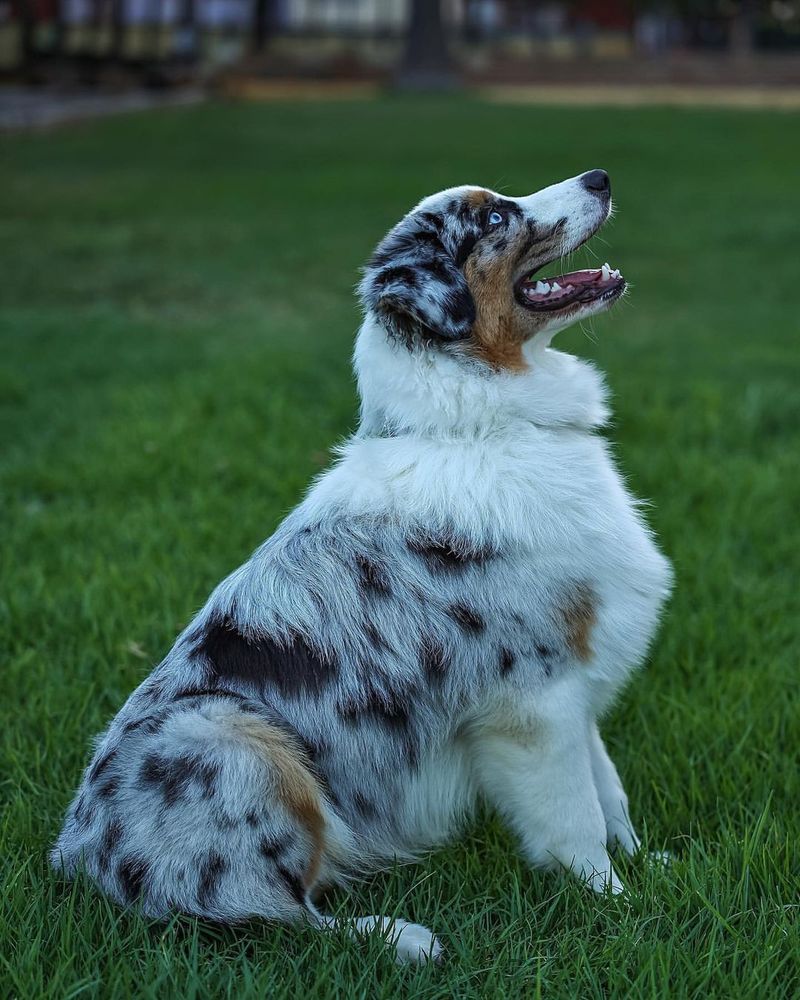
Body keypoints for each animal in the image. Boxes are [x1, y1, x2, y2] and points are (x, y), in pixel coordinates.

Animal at [53, 170, 672, 960]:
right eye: (494, 218)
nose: (600, 177)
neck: (480, 424)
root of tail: (76, 856)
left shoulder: (579, 671)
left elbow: (608, 788)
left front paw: (651, 866)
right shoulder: (533, 697)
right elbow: (574, 819)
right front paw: (619, 909)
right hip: (229, 737)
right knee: (270, 913)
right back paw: (402, 939)